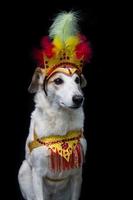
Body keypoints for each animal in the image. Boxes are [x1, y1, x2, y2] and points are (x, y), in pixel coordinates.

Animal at [17, 11, 91, 200]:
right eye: (58, 81)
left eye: (77, 80)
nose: (79, 98)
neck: (60, 118)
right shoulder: (37, 174)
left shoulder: (77, 174)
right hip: (23, 170)